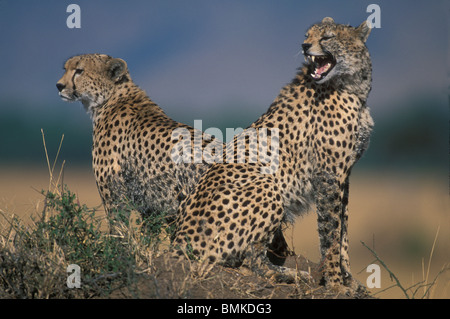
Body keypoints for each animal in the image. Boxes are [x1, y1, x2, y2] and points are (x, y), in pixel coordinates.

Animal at [56, 53, 223, 224]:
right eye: (65, 69)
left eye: (79, 71)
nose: (59, 86)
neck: (111, 99)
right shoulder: (151, 207)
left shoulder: (115, 199)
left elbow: (119, 228)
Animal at [174, 16, 374, 292]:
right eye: (307, 35)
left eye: (327, 37)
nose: (304, 46)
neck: (352, 87)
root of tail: (179, 240)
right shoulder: (328, 174)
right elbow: (330, 233)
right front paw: (335, 284)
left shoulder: (344, 174)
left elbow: (342, 230)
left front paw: (350, 281)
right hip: (268, 185)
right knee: (250, 260)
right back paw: (289, 275)